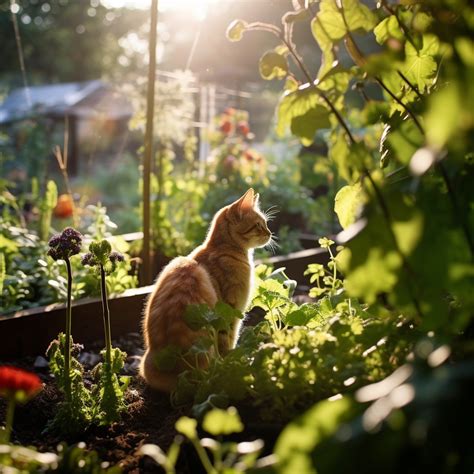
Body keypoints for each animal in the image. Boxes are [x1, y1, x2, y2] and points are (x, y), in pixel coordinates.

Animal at [140, 189, 270, 392]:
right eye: (258, 225)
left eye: (266, 223)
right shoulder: (232, 313)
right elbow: (229, 342)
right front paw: (233, 362)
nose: (270, 233)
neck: (223, 248)